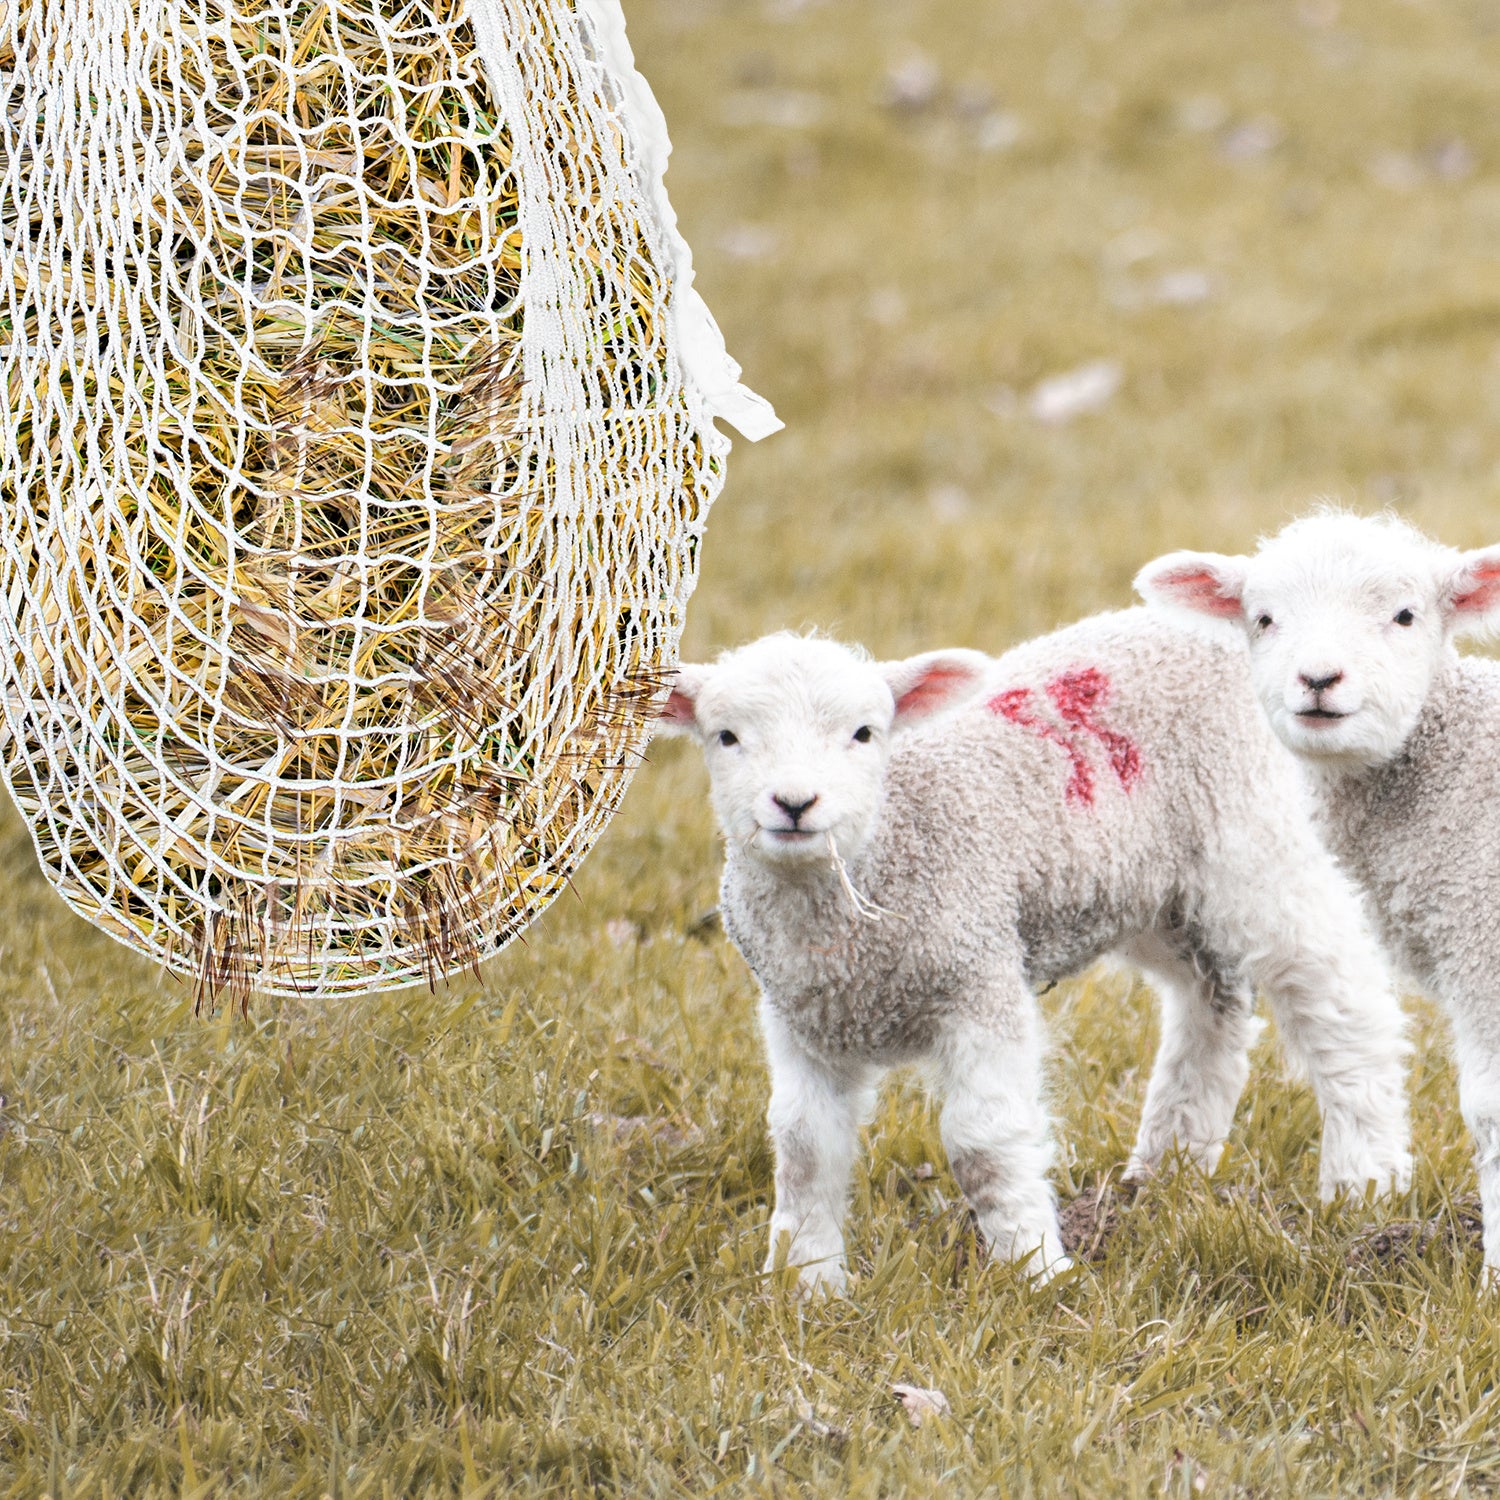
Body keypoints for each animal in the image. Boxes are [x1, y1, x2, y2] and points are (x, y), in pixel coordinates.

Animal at [658, 618, 1413, 1294]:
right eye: (726, 736)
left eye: (864, 733)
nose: (794, 803)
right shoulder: (801, 1020)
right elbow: (804, 1149)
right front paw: (804, 1287)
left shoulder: (978, 976)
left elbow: (984, 1146)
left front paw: (1034, 1271)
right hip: (1153, 890)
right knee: (1212, 1001)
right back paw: (1166, 1169)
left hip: (1259, 838)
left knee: (1341, 1003)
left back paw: (1366, 1180)